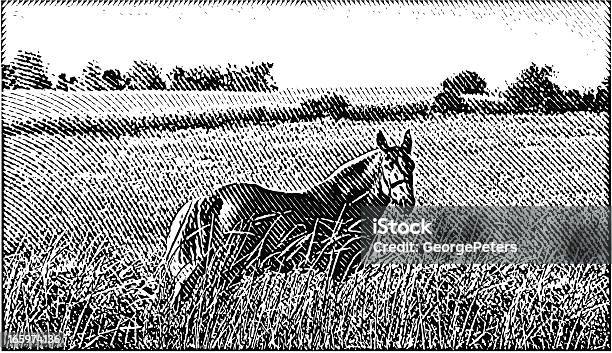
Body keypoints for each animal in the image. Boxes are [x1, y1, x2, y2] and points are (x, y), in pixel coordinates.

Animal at [165, 129, 418, 300]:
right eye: (387, 165)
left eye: (411, 165)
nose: (407, 201)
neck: (347, 201)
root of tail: (213, 197)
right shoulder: (339, 267)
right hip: (226, 265)